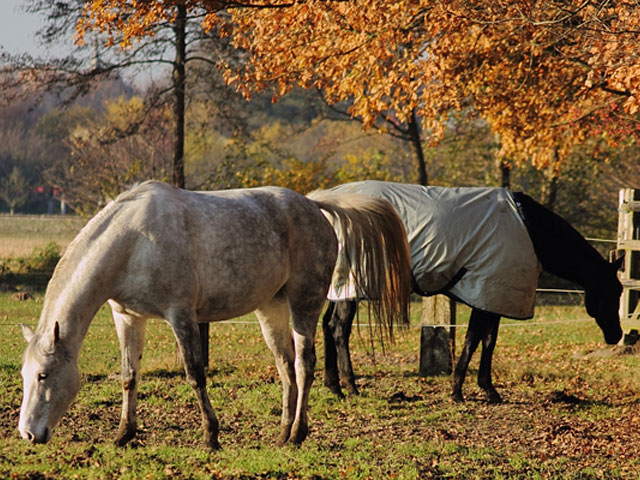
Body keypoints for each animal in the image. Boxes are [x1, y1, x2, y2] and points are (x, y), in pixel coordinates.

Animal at [21, 181, 410, 450]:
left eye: (43, 375)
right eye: (25, 375)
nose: (28, 434)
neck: (134, 241)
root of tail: (314, 205)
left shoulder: (181, 315)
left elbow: (195, 375)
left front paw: (211, 436)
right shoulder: (127, 316)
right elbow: (129, 376)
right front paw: (123, 435)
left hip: (305, 303)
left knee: (303, 365)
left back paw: (298, 434)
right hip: (270, 309)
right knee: (286, 368)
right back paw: (282, 434)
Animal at [322, 180, 624, 402]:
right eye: (612, 292)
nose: (616, 335)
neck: (530, 229)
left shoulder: (496, 298)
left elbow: (488, 341)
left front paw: (488, 390)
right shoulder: (485, 292)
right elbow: (473, 340)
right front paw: (457, 391)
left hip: (337, 287)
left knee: (326, 325)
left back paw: (333, 385)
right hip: (350, 287)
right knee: (338, 329)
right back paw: (350, 386)